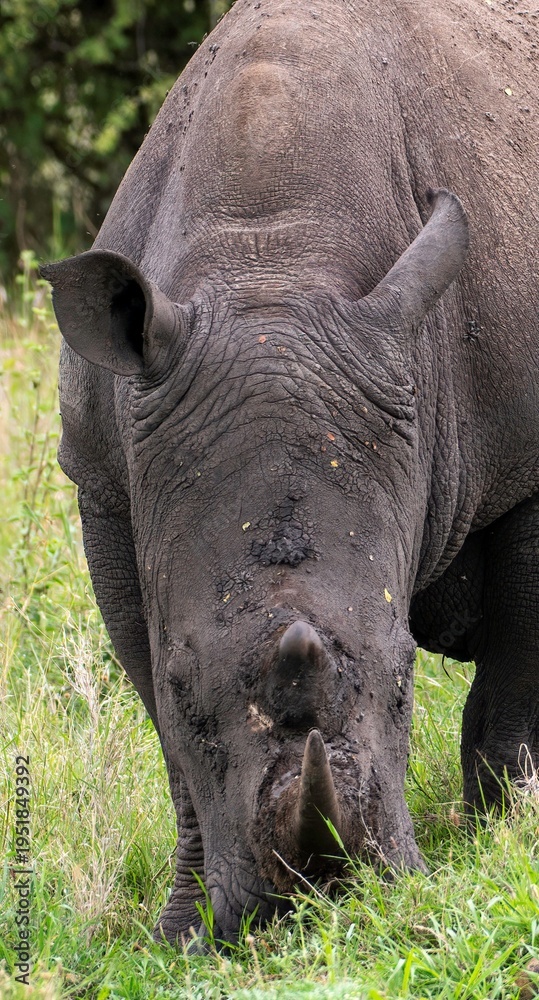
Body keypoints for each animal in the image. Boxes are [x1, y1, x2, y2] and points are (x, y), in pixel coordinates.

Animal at [41, 0, 539, 946]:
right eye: (185, 686)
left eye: (402, 682)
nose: (323, 897)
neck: (268, 265)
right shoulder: (105, 485)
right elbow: (162, 727)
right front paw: (187, 929)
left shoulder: (529, 468)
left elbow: (513, 684)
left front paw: (506, 840)